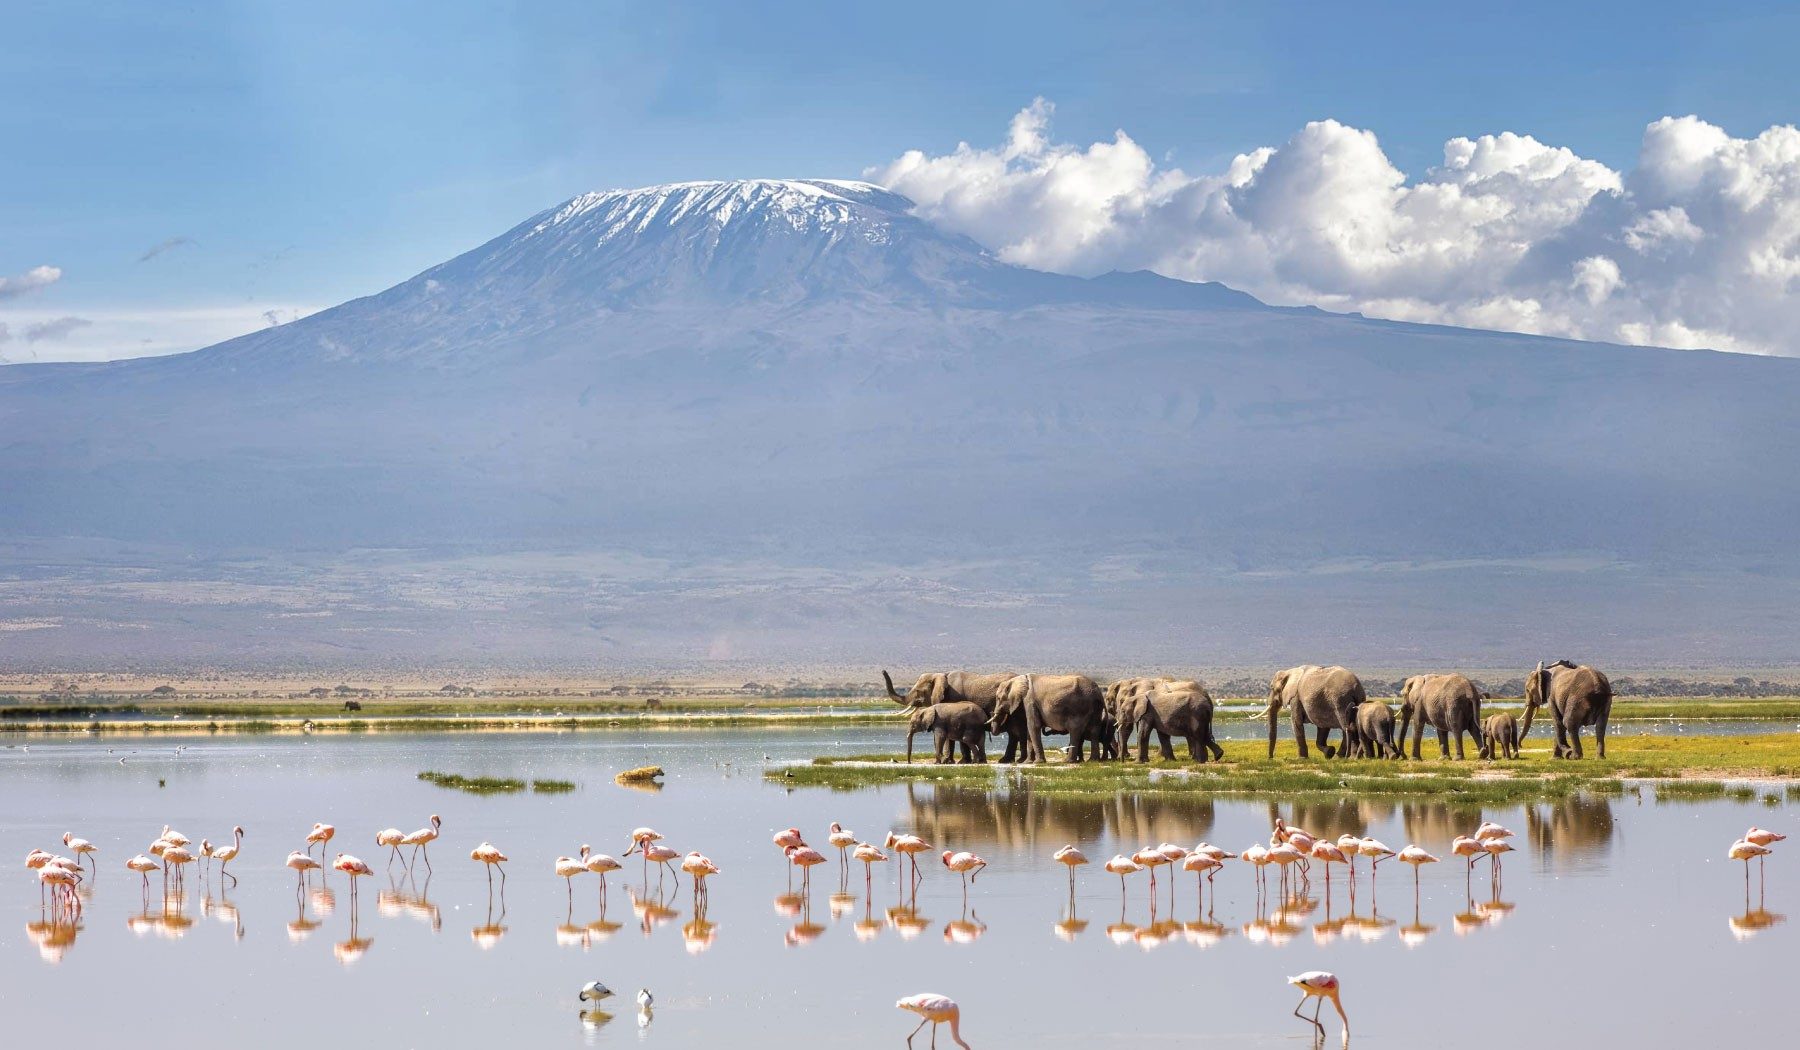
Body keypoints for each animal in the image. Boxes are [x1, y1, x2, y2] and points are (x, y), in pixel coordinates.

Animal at [884, 669, 1024, 762]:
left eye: (918, 691)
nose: (883, 671)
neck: (941, 675)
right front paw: (957, 762)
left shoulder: (954, 698)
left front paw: (950, 761)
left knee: (1014, 732)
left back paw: (1005, 761)